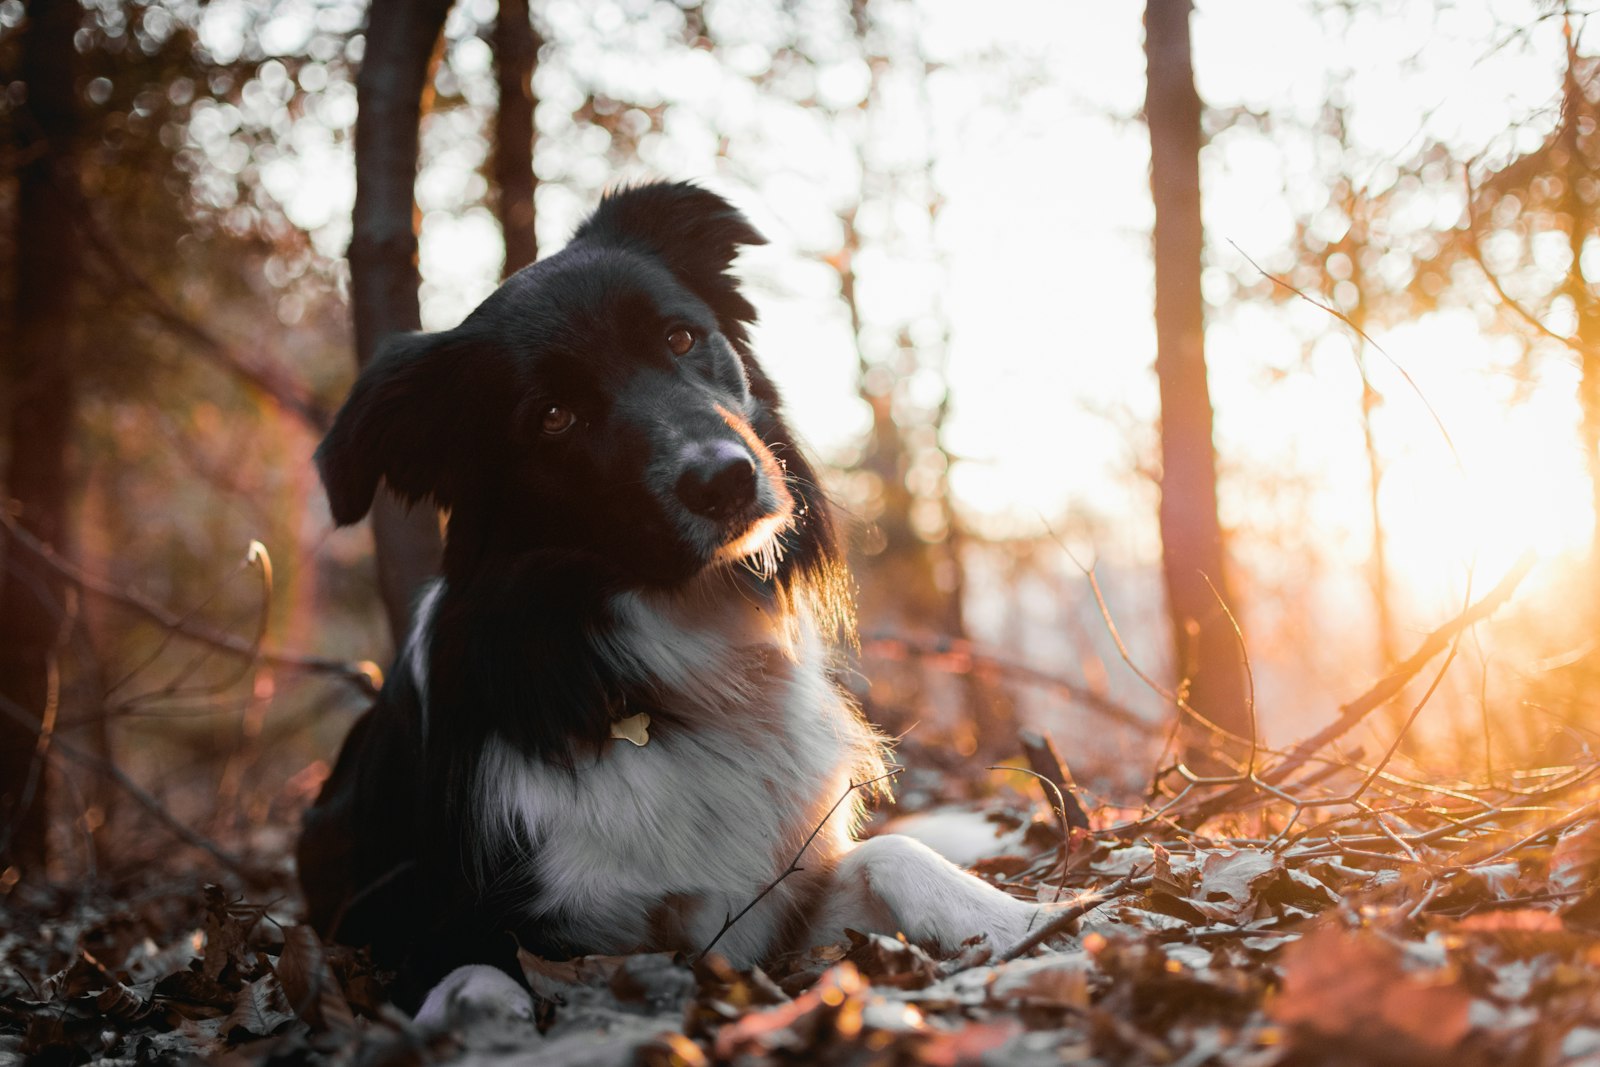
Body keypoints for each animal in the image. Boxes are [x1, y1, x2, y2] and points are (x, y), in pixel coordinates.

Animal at [300, 183, 1075, 1017]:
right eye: (552, 417)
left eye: (680, 337)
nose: (724, 479)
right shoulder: (454, 932)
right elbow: (478, 980)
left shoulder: (767, 908)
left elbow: (894, 849)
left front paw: (1023, 919)